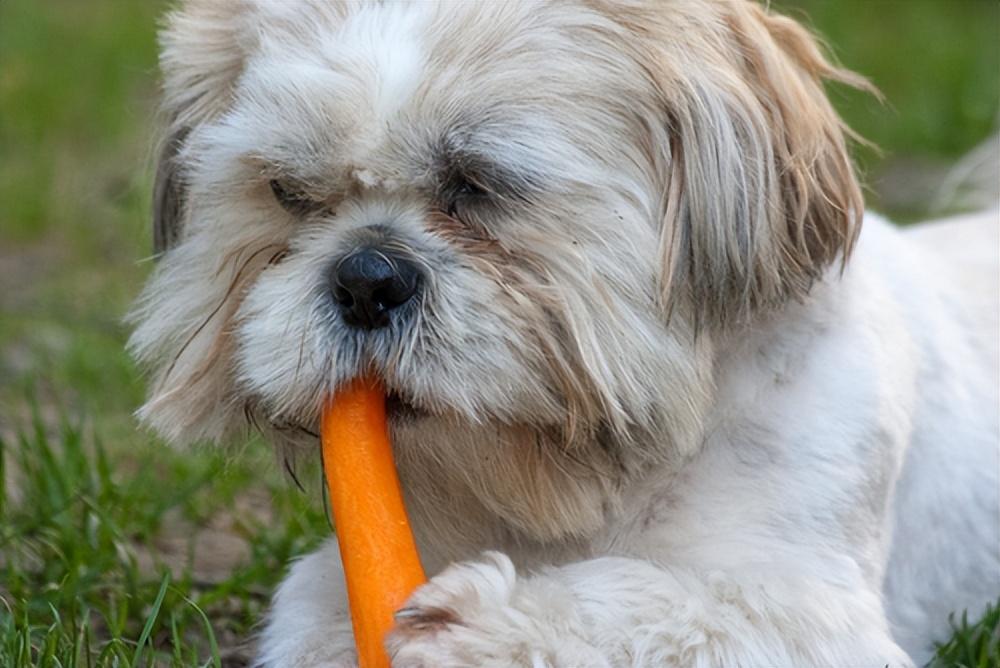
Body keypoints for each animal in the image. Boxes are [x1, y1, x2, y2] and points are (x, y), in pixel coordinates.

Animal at [127, 2, 1000, 664]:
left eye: (479, 185)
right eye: (289, 192)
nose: (366, 277)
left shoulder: (802, 615)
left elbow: (655, 606)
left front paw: (485, 628)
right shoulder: (334, 582)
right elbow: (319, 619)